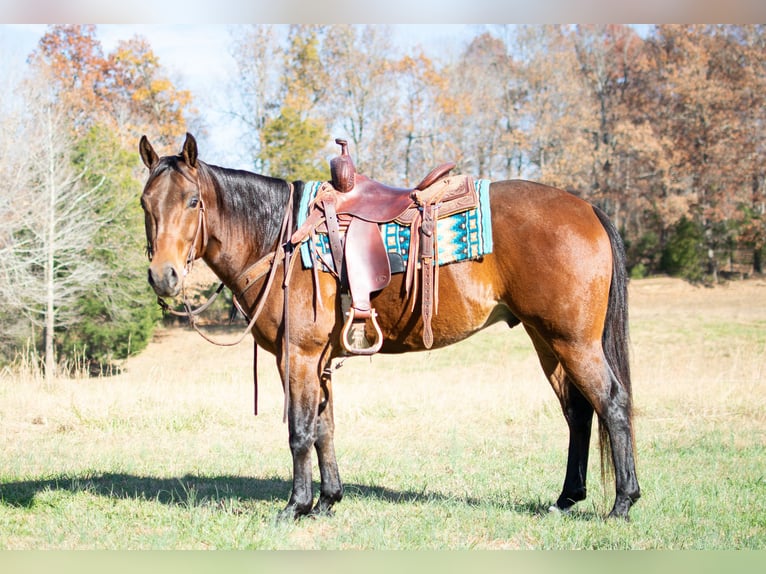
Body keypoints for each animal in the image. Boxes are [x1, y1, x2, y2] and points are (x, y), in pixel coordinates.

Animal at [140, 134, 640, 520]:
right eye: (146, 203)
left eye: (192, 201)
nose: (164, 275)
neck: (280, 240)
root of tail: (587, 208)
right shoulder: (320, 361)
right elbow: (325, 427)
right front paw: (328, 501)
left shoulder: (298, 355)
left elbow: (300, 430)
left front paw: (296, 506)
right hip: (548, 341)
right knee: (578, 412)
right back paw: (566, 499)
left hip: (574, 342)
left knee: (612, 403)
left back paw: (622, 503)